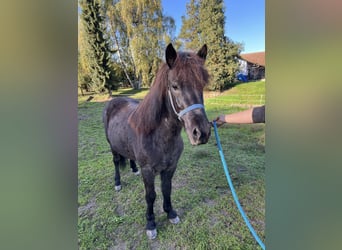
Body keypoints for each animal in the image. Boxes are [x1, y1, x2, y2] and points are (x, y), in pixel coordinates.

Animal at [103, 43, 211, 240]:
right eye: (174, 86)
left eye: (202, 85)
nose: (201, 133)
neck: (159, 137)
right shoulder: (148, 170)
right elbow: (151, 195)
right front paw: (151, 223)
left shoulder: (170, 167)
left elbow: (166, 189)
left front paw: (171, 213)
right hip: (111, 146)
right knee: (115, 162)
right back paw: (117, 183)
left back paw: (133, 169)